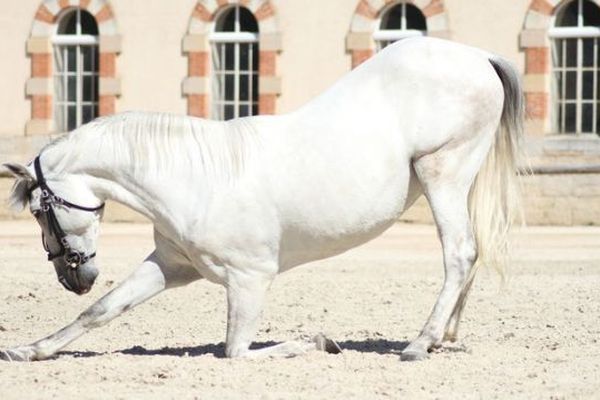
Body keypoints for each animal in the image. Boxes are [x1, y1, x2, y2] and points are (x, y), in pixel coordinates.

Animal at [2, 38, 524, 362]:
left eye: (40, 212)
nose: (75, 278)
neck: (192, 180)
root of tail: (477, 55)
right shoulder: (171, 266)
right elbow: (102, 311)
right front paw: (28, 350)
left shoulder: (249, 280)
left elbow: (235, 350)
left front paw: (317, 342)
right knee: (468, 255)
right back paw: (442, 339)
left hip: (443, 172)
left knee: (459, 253)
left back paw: (420, 343)